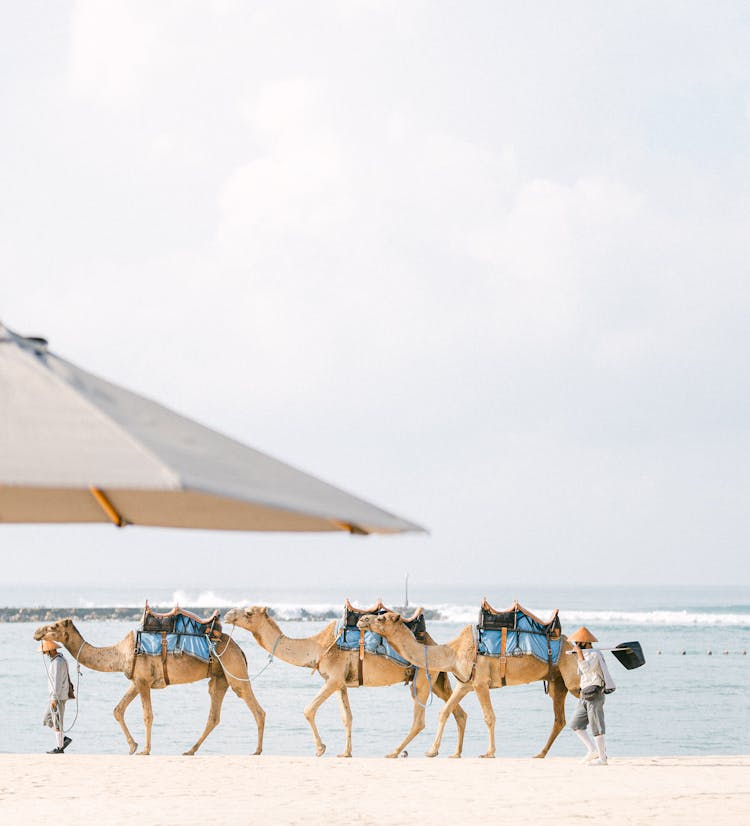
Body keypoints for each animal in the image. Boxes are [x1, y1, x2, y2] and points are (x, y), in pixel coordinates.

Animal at [33, 612, 268, 752]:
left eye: (54, 626)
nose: (37, 631)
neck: (120, 654)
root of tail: (239, 649)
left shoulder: (143, 681)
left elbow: (147, 716)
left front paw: (145, 750)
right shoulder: (136, 681)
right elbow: (118, 710)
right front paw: (133, 747)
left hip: (233, 669)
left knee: (255, 706)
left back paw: (257, 751)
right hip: (220, 678)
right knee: (214, 715)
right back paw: (189, 750)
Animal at [226, 600, 468, 756]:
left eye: (249, 613)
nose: (227, 614)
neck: (317, 647)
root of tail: (434, 643)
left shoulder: (332, 679)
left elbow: (308, 709)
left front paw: (320, 749)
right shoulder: (340, 682)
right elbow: (347, 717)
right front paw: (345, 753)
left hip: (422, 679)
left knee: (420, 720)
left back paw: (396, 752)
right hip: (438, 678)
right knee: (458, 712)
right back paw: (453, 753)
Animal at [356, 608, 580, 756]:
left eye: (381, 618)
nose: (362, 619)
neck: (452, 653)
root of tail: (575, 647)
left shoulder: (480, 683)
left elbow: (489, 716)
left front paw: (489, 752)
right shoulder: (464, 684)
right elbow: (445, 712)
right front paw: (436, 751)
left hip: (572, 678)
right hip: (558, 682)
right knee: (559, 719)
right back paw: (540, 754)